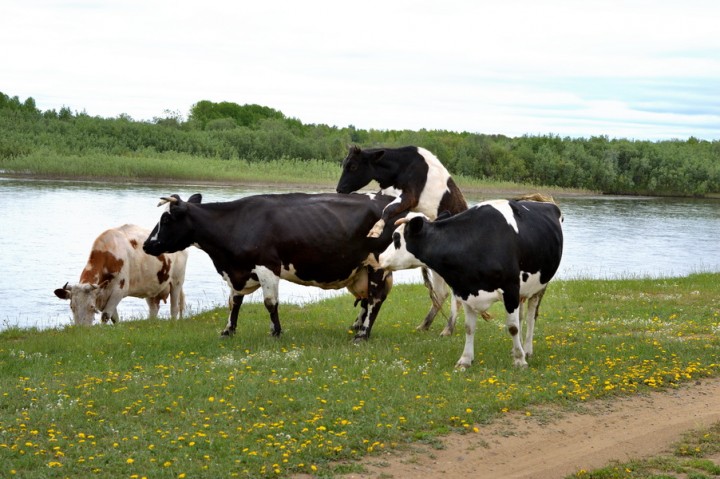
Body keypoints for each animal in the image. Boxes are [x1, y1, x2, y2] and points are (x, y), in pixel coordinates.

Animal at [54, 225, 187, 326]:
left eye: (91, 306)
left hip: (177, 282)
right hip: (152, 287)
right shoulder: (104, 293)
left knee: (174, 308)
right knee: (154, 308)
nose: (82, 329)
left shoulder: (119, 289)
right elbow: (114, 317)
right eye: (72, 307)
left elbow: (106, 315)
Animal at [143, 192, 404, 342]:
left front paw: (276, 332)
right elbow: (234, 302)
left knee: (375, 300)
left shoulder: (267, 265)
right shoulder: (238, 271)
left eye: (166, 219)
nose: (147, 245)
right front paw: (228, 331)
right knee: (368, 300)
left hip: (377, 265)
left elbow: (270, 303)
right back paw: (357, 326)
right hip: (362, 270)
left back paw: (363, 334)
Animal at [336, 146, 470, 338]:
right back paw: (424, 325)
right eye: (344, 164)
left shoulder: (410, 195)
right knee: (441, 292)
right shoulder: (388, 193)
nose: (339, 190)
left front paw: (376, 228)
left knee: (454, 295)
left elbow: (388, 209)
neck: (404, 164)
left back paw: (448, 329)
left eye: (353, 166)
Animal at [376, 197, 564, 370]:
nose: (380, 257)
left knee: (531, 317)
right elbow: (469, 327)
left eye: (396, 238)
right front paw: (465, 360)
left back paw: (527, 350)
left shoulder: (510, 288)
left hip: (540, 286)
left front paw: (519, 360)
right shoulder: (465, 289)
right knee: (521, 316)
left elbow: (512, 328)